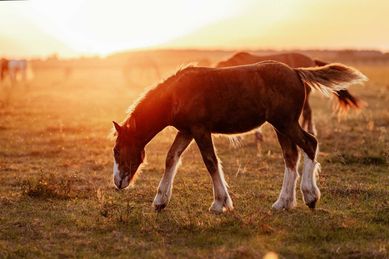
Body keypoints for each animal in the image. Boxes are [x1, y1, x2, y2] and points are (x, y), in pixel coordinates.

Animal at [110, 61, 366, 213]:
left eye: (116, 150)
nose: (118, 182)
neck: (176, 95)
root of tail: (296, 72)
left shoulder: (200, 129)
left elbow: (211, 162)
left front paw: (220, 203)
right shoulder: (187, 131)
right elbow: (171, 158)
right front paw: (160, 201)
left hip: (286, 123)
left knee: (309, 144)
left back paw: (310, 196)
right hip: (280, 126)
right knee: (291, 156)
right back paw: (283, 202)